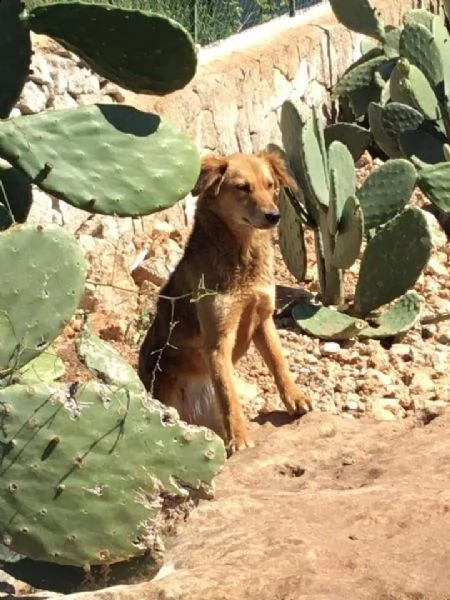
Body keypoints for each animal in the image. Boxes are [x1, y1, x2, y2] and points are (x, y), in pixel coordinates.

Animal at [139, 151, 312, 454]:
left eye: (270, 185)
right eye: (243, 188)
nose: (274, 216)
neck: (242, 259)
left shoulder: (263, 319)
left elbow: (279, 362)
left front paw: (295, 397)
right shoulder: (218, 340)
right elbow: (229, 397)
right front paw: (239, 438)